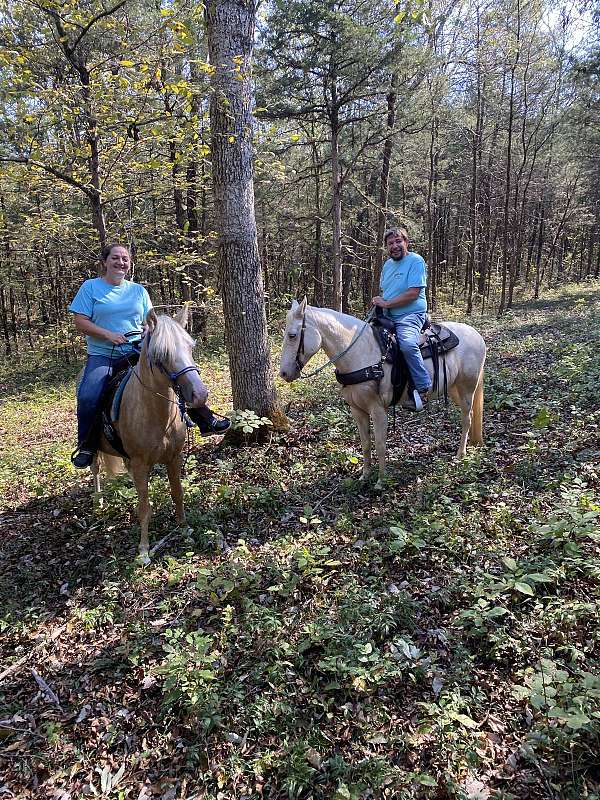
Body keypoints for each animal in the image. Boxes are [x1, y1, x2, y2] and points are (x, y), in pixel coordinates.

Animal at [91, 306, 207, 564]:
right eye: (162, 355)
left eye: (190, 346)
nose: (200, 395)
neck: (156, 414)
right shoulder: (141, 463)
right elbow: (144, 507)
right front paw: (143, 550)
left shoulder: (174, 458)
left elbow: (177, 493)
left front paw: (184, 529)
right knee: (94, 469)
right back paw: (99, 499)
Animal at [278, 298, 486, 488]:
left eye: (292, 335)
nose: (284, 374)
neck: (360, 353)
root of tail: (476, 334)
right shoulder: (357, 410)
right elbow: (365, 444)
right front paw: (365, 476)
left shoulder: (378, 410)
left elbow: (380, 445)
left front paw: (381, 480)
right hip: (454, 388)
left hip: (467, 387)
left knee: (466, 419)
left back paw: (460, 454)